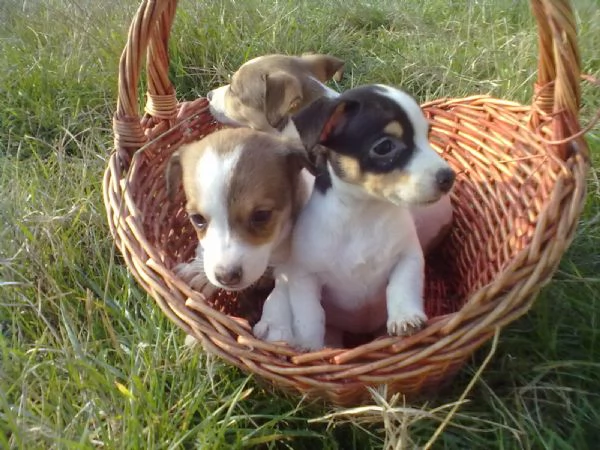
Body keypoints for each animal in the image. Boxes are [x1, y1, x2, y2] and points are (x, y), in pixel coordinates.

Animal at [252, 84, 454, 352]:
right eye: (384, 147)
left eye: (427, 135)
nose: (448, 177)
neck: (363, 214)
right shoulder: (304, 278)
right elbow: (310, 315)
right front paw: (310, 347)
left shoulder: (408, 257)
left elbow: (401, 287)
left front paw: (405, 318)